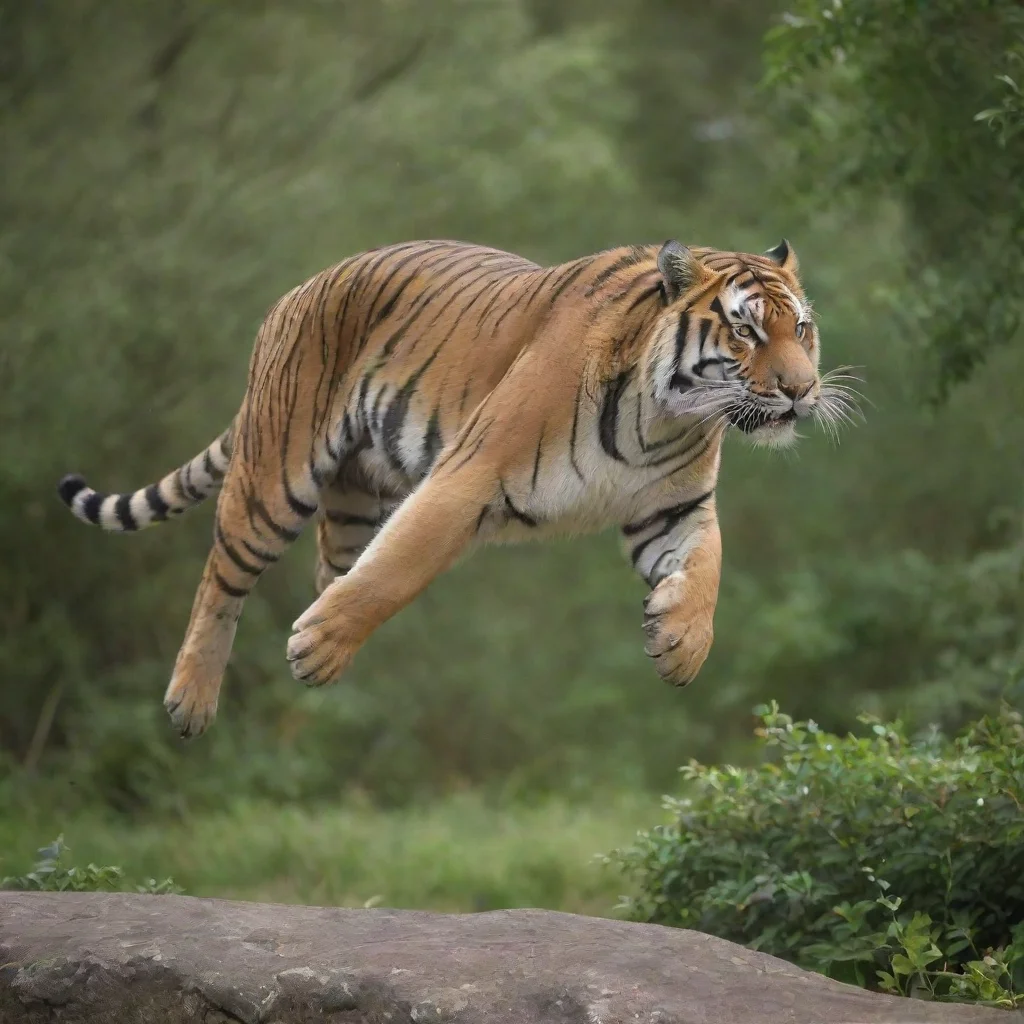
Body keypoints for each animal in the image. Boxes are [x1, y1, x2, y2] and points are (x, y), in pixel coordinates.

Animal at [58, 238, 854, 738]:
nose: (801, 391)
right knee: (223, 579)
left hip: (356, 497)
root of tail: (301, 289)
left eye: (802, 330)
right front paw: (316, 646)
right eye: (746, 332)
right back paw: (192, 700)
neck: (662, 414)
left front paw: (681, 644)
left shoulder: (674, 508)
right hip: (274, 477)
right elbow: (400, 568)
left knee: (333, 566)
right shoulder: (466, 477)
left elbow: (708, 567)